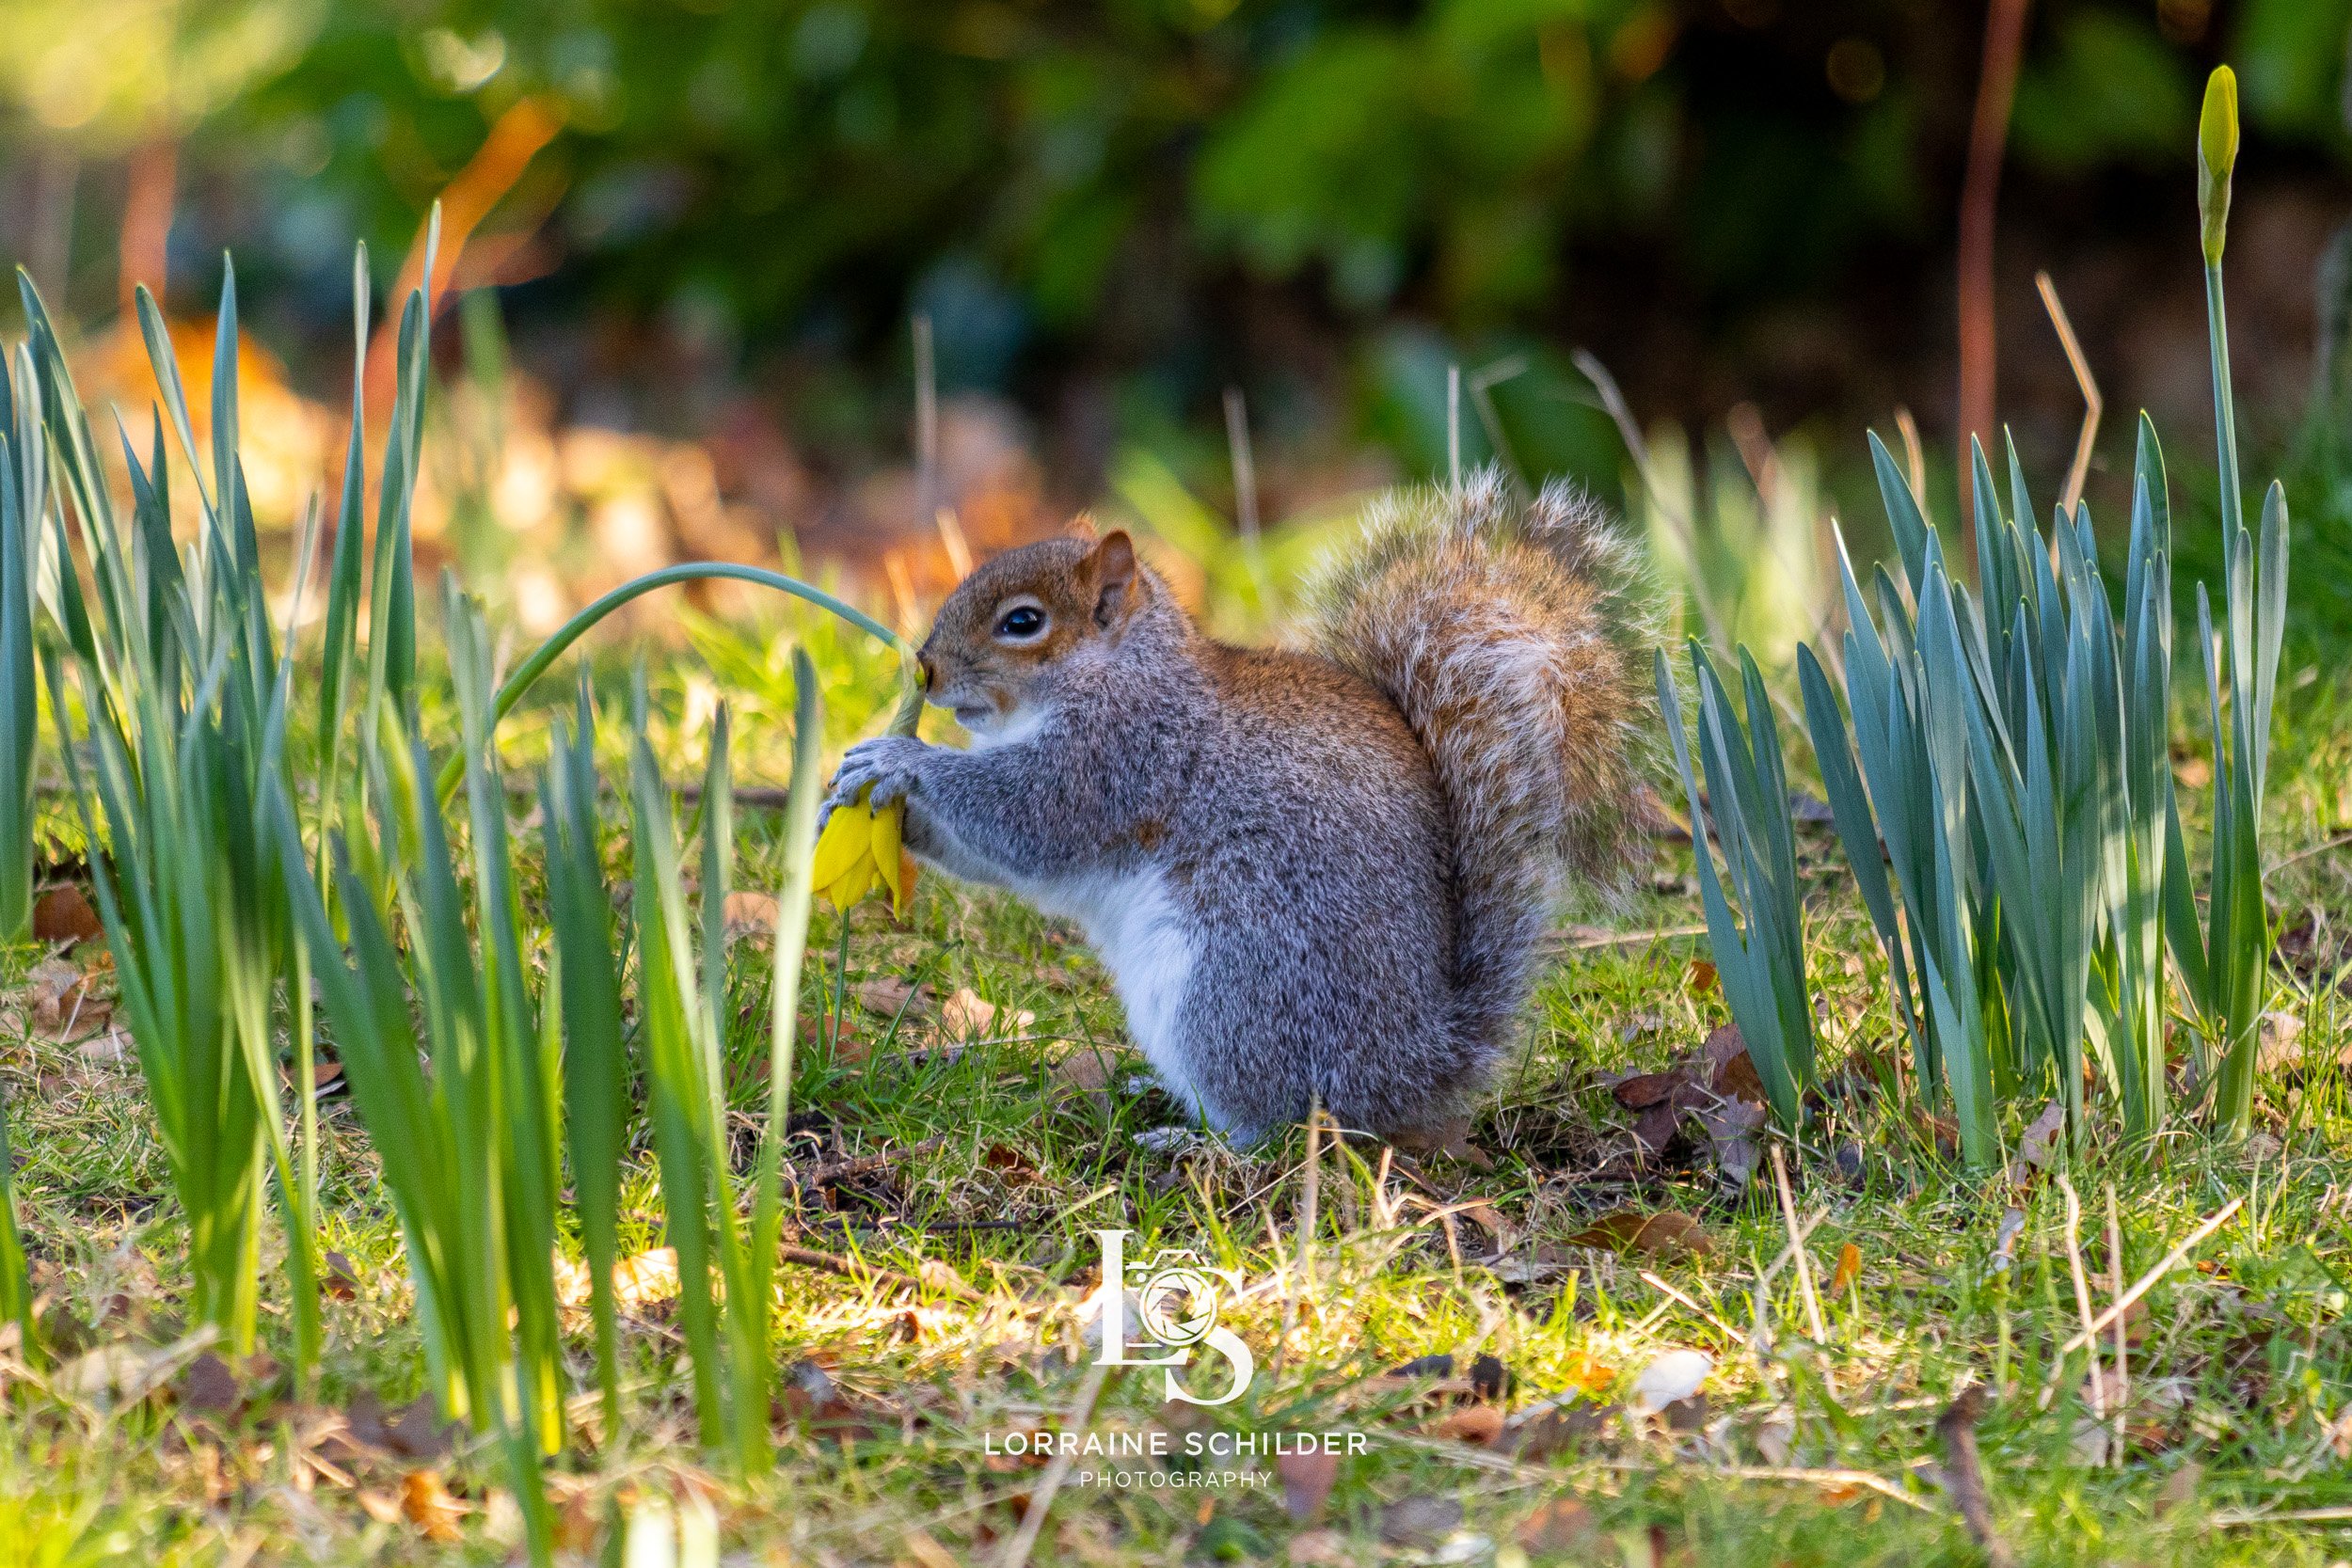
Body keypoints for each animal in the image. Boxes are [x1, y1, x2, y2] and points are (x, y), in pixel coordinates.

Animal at [825, 470, 1652, 1144]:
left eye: (1023, 622)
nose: (925, 668)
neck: (1119, 671)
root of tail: (1408, 1071)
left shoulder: (1123, 755)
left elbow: (1028, 820)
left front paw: (899, 760)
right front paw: (881, 799)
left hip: (1232, 987)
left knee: (1279, 1126)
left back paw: (1197, 1143)